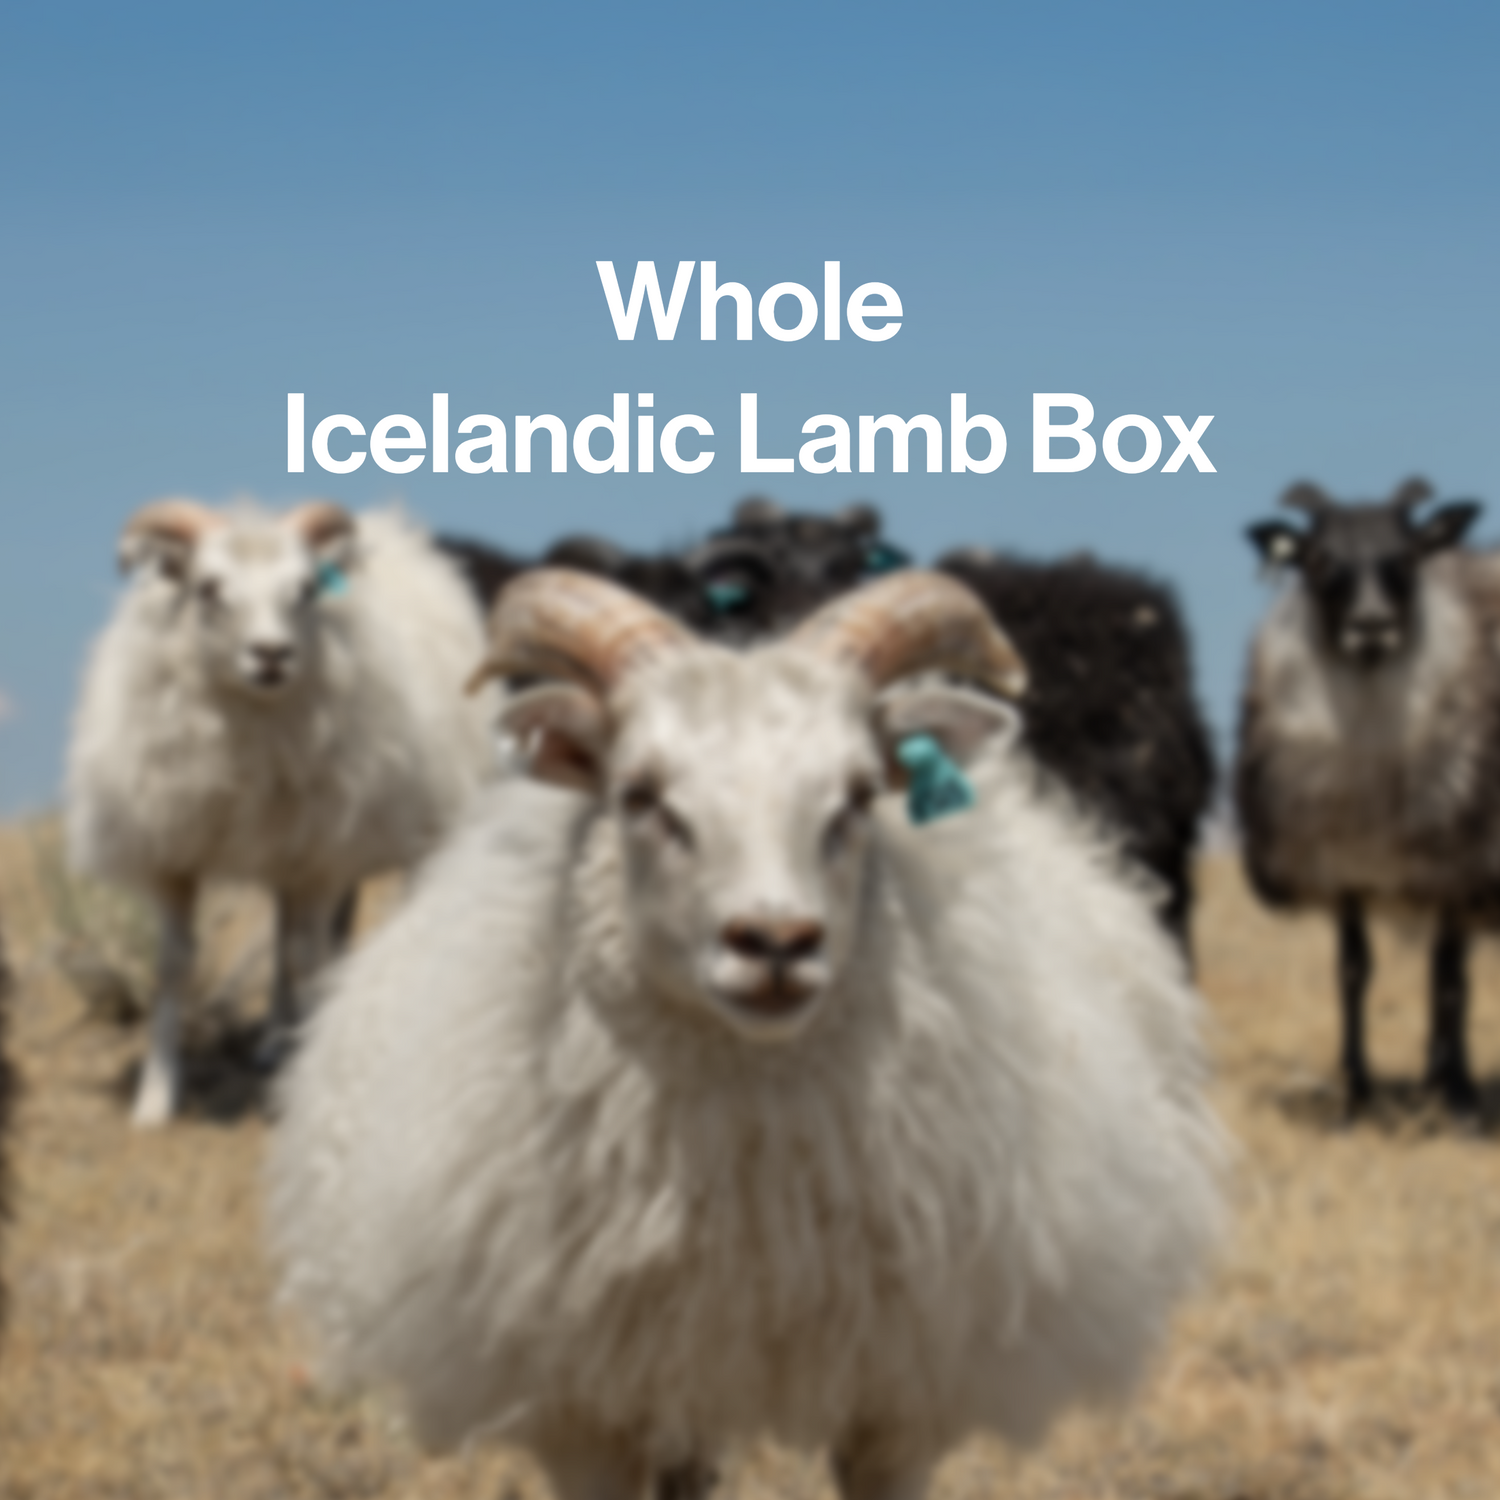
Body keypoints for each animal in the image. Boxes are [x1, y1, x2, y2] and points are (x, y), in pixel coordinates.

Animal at [66, 499, 497, 1127]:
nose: (272, 654)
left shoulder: (320, 856)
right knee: (284, 928)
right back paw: (274, 1038)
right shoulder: (175, 853)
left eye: (305, 590)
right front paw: (155, 1099)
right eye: (207, 588)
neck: (250, 722)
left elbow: (304, 958)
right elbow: (174, 966)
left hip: (405, 830)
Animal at [1235, 477, 1497, 1117]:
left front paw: (1452, 1090)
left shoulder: (1454, 870)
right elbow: (1353, 970)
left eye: (1405, 559)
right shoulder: (1341, 870)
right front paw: (1356, 1086)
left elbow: (1446, 978)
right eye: (1318, 560)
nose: (1372, 625)